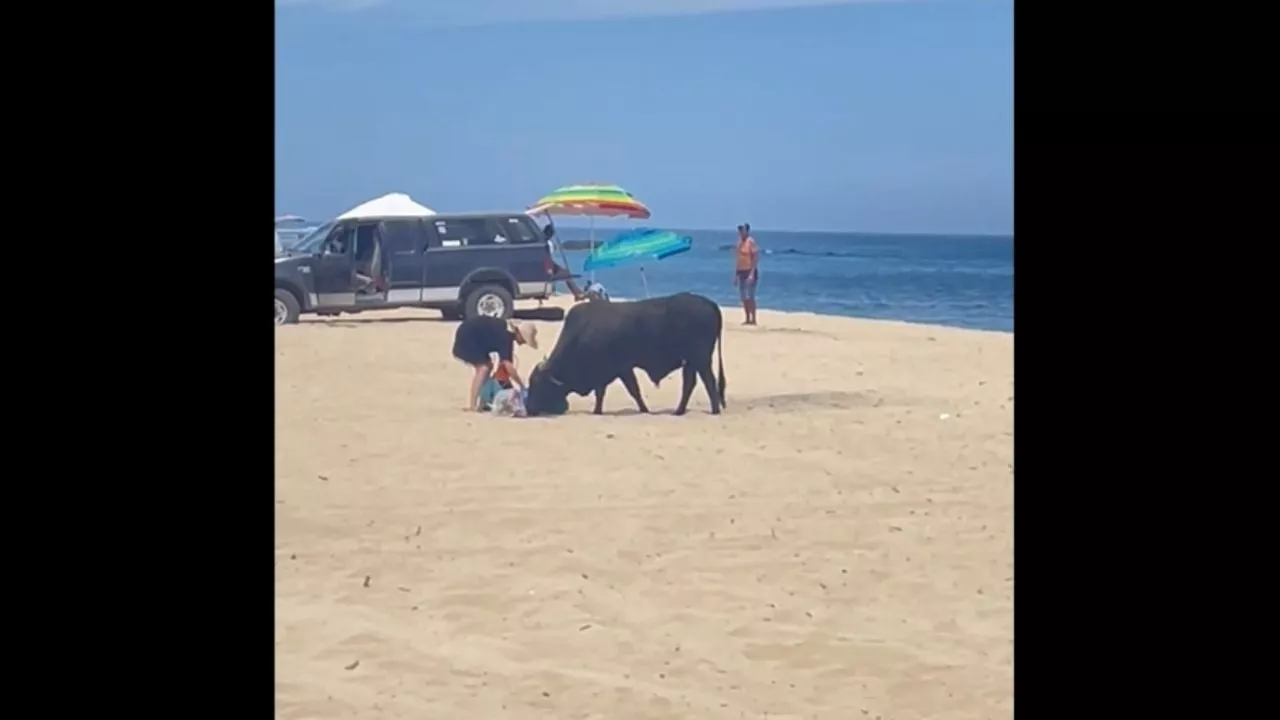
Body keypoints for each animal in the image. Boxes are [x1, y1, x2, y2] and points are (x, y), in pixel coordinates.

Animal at [524, 292, 727, 415]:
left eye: (538, 385)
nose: (529, 408)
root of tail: (711, 304)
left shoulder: (622, 368)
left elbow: (632, 390)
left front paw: (644, 410)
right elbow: (601, 393)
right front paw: (598, 410)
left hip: (701, 360)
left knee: (708, 382)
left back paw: (713, 410)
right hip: (691, 362)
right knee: (690, 384)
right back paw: (679, 411)